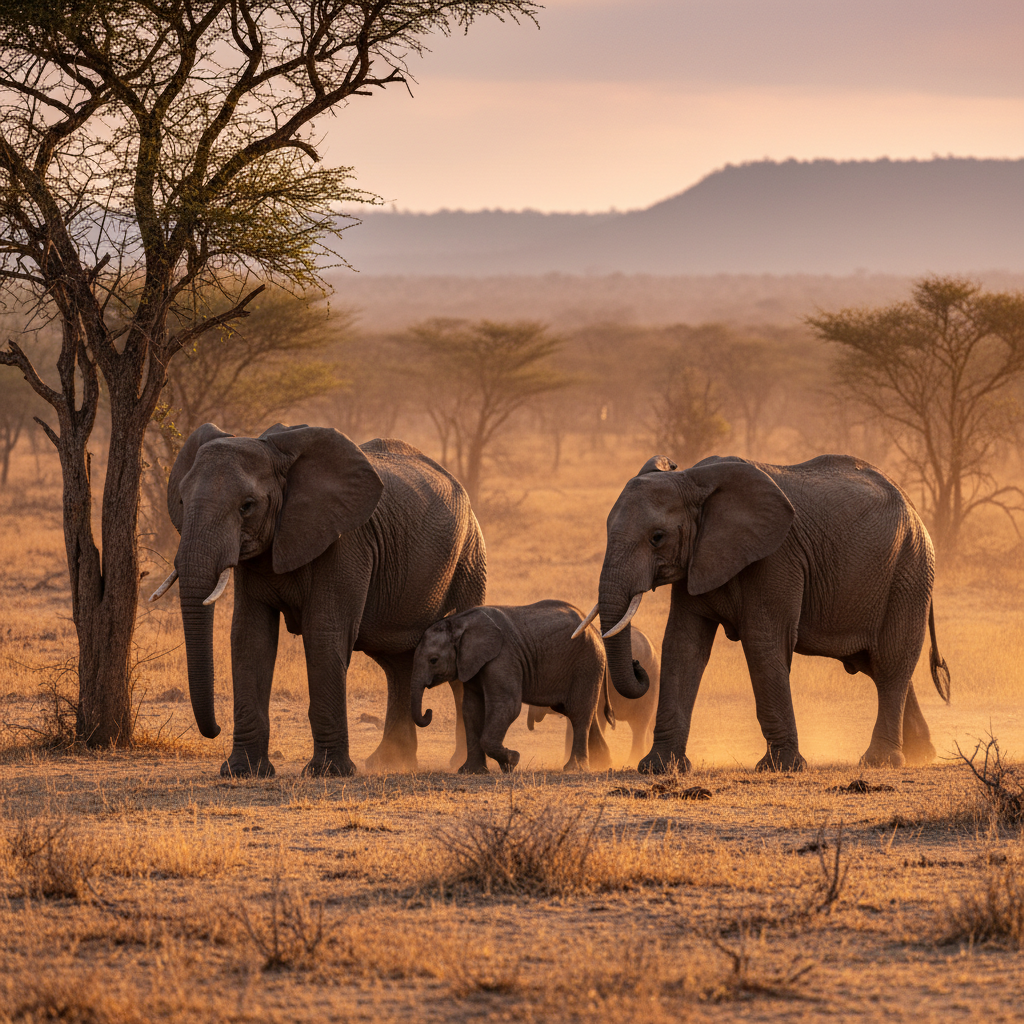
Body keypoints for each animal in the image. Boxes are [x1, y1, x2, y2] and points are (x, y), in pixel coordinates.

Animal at [151, 422, 486, 777]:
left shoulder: (344, 542)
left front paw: (329, 772)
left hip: (469, 558)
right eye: (182, 501)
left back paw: (463, 763)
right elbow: (250, 638)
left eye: (247, 506)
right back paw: (390, 762)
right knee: (398, 664)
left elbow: (324, 634)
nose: (213, 729)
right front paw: (242, 771)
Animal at [411, 600, 613, 772]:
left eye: (433, 660)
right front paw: (471, 771)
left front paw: (512, 761)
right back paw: (599, 763)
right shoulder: (471, 664)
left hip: (587, 663)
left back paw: (575, 768)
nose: (428, 712)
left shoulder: (502, 658)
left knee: (578, 713)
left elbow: (507, 706)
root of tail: (596, 631)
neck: (460, 621)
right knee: (579, 712)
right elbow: (471, 709)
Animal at [583, 453, 950, 774]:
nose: (638, 665)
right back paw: (921, 755)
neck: (691, 478)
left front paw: (781, 767)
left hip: (909, 571)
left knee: (890, 663)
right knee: (876, 664)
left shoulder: (776, 559)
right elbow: (683, 645)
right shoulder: (698, 560)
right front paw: (657, 768)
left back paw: (880, 762)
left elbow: (763, 644)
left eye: (657, 538)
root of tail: (913, 508)